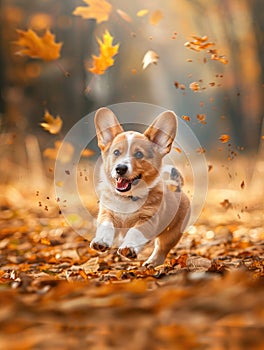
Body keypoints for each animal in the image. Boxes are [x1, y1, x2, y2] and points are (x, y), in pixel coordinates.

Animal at [91, 108, 190, 266]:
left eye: (138, 154)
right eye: (116, 152)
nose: (120, 168)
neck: (127, 198)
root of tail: (177, 188)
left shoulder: (148, 219)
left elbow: (135, 232)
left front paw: (129, 247)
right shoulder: (107, 213)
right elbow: (106, 226)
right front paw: (100, 241)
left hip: (171, 234)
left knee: (161, 249)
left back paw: (152, 263)